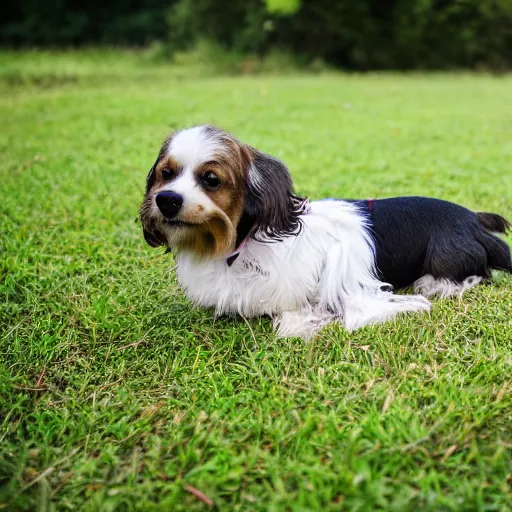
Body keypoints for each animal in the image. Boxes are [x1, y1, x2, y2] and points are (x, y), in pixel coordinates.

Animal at [140, 124, 512, 338]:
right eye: (166, 174)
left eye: (211, 179)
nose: (166, 200)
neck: (240, 246)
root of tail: (473, 219)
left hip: (446, 255)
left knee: (478, 273)